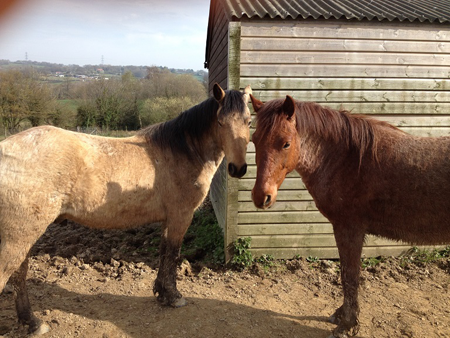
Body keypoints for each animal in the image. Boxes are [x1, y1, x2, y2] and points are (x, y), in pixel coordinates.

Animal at [0, 83, 253, 334]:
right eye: (220, 122)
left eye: (249, 121)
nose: (238, 167)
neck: (182, 152)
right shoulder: (181, 216)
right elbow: (173, 253)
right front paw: (173, 296)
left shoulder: (168, 218)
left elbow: (164, 252)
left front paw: (161, 292)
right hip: (21, 234)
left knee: (19, 272)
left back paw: (31, 322)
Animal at [250, 95, 450, 338]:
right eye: (254, 140)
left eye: (286, 143)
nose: (261, 196)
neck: (348, 161)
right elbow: (347, 274)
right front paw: (342, 315)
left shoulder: (349, 229)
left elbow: (350, 276)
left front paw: (348, 324)